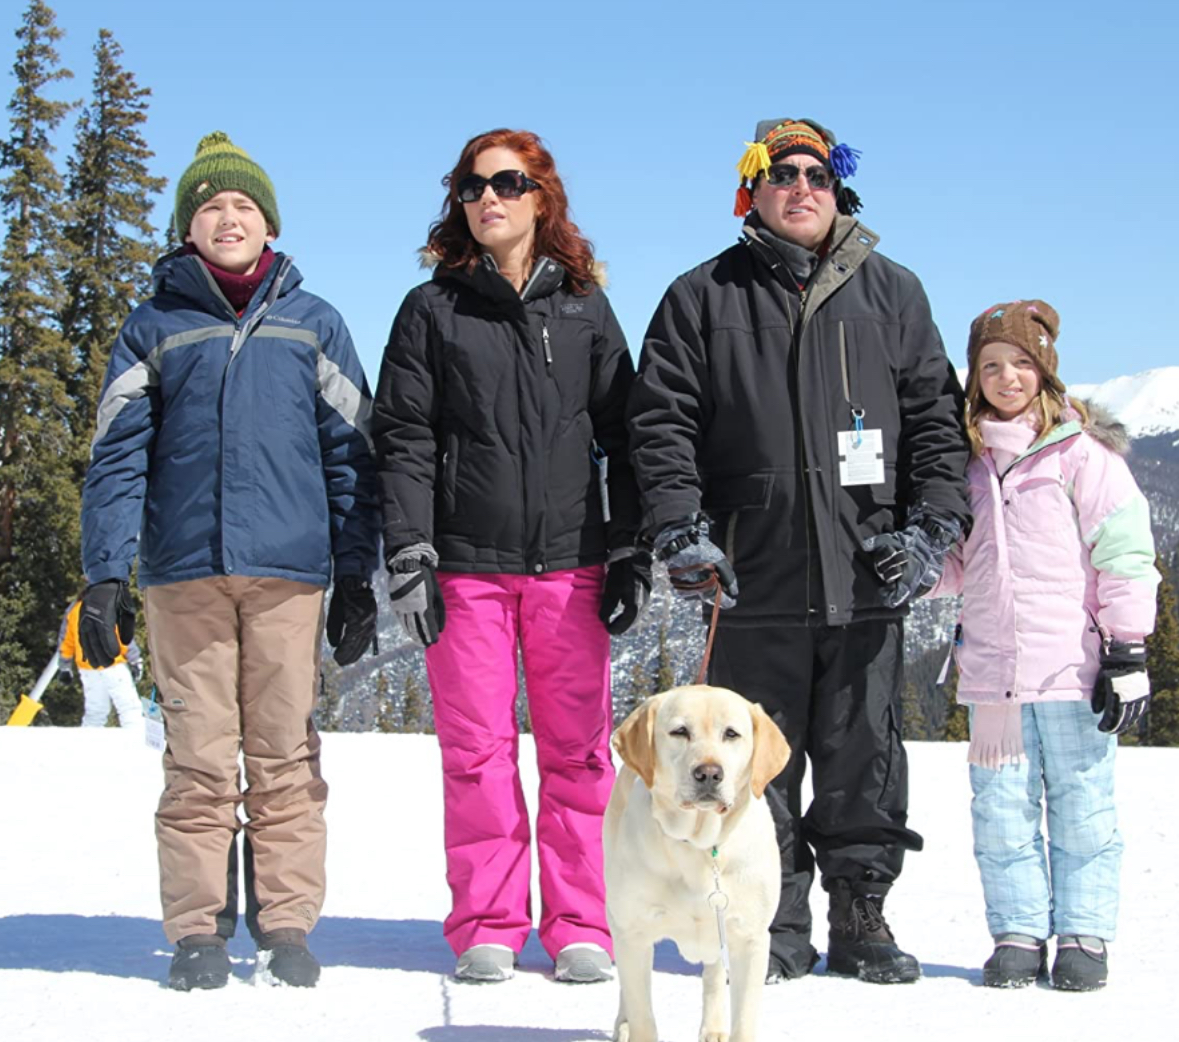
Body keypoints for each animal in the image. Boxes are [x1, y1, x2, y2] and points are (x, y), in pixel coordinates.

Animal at [603, 683, 787, 1042]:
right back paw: (623, 1024)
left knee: (713, 975)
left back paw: (713, 1029)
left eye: (731, 734)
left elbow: (743, 1020)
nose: (709, 773)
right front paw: (634, 1025)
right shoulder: (634, 932)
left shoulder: (750, 939)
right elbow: (643, 1016)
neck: (701, 847)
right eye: (679, 731)